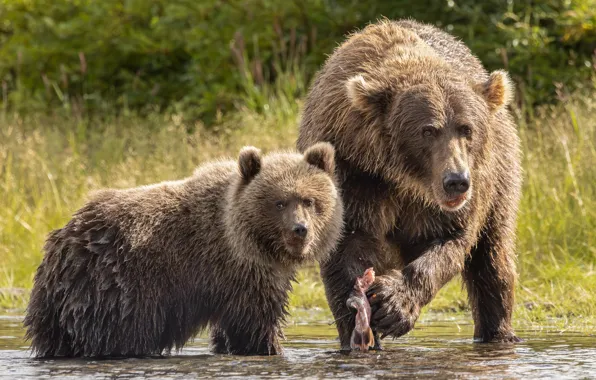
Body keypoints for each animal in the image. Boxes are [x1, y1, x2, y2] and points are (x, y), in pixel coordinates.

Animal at [298, 19, 520, 348]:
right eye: (427, 131)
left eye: (466, 129)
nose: (456, 181)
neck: (405, 179)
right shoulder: (353, 174)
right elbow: (347, 243)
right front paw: (359, 321)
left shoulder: (458, 198)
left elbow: (451, 240)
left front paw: (394, 305)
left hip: (502, 181)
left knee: (492, 260)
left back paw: (498, 333)